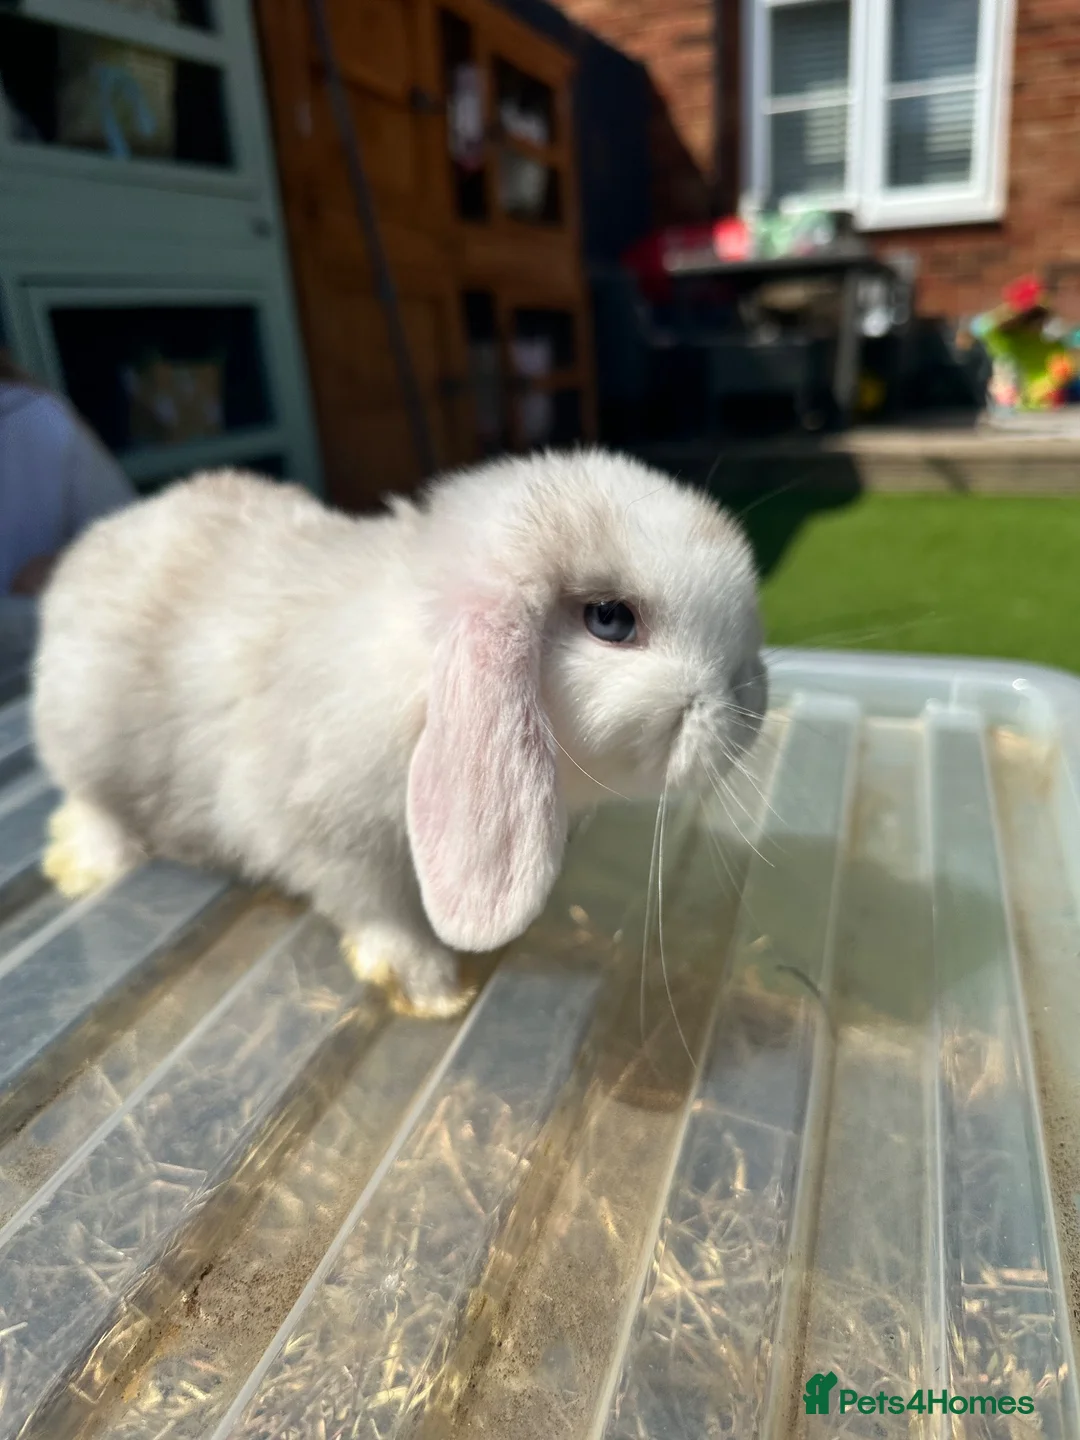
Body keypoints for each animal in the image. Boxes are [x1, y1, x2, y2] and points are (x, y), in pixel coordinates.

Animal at [31, 449, 767, 1017]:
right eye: (610, 618)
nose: (750, 699)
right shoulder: (321, 827)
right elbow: (373, 905)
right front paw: (430, 988)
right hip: (82, 735)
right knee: (90, 800)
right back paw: (89, 864)